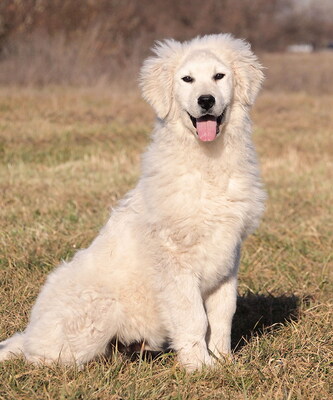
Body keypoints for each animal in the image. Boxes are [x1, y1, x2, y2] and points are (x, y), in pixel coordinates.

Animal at [0, 34, 264, 372]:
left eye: (219, 76)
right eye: (187, 79)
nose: (206, 100)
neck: (207, 163)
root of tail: (31, 332)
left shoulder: (229, 257)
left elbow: (221, 315)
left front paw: (224, 361)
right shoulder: (174, 260)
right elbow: (194, 318)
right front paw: (199, 367)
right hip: (96, 310)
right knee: (46, 356)